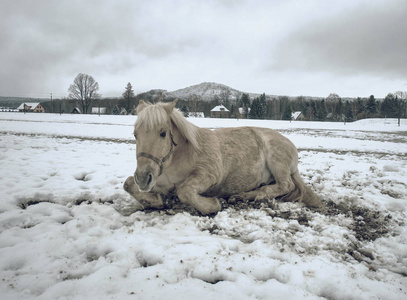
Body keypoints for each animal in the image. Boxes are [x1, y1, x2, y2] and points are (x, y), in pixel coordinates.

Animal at [124, 101, 322, 216]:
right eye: (135, 134)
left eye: (163, 133)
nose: (143, 178)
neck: (179, 156)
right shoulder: (158, 178)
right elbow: (128, 184)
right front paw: (155, 200)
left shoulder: (209, 173)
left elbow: (185, 191)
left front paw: (212, 204)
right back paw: (243, 195)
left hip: (277, 160)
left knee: (285, 185)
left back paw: (251, 195)